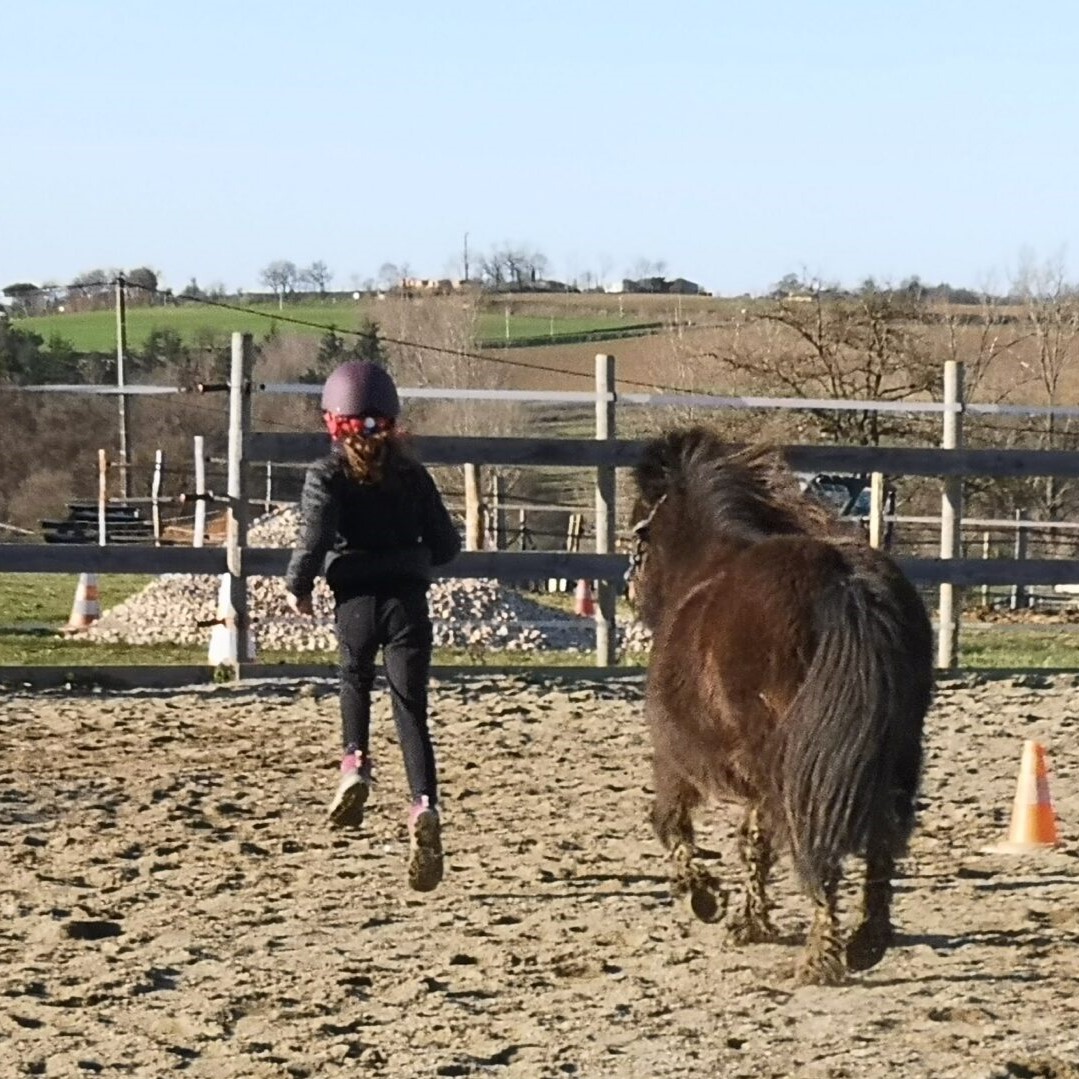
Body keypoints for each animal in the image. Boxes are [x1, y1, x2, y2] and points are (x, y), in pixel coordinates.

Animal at [630, 427, 932, 988]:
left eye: (641, 529)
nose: (631, 590)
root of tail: (842, 582)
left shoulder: (677, 758)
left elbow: (668, 822)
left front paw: (704, 897)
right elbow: (755, 841)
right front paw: (749, 920)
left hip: (795, 765)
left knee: (819, 852)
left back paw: (820, 959)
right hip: (895, 753)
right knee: (883, 842)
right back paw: (867, 942)